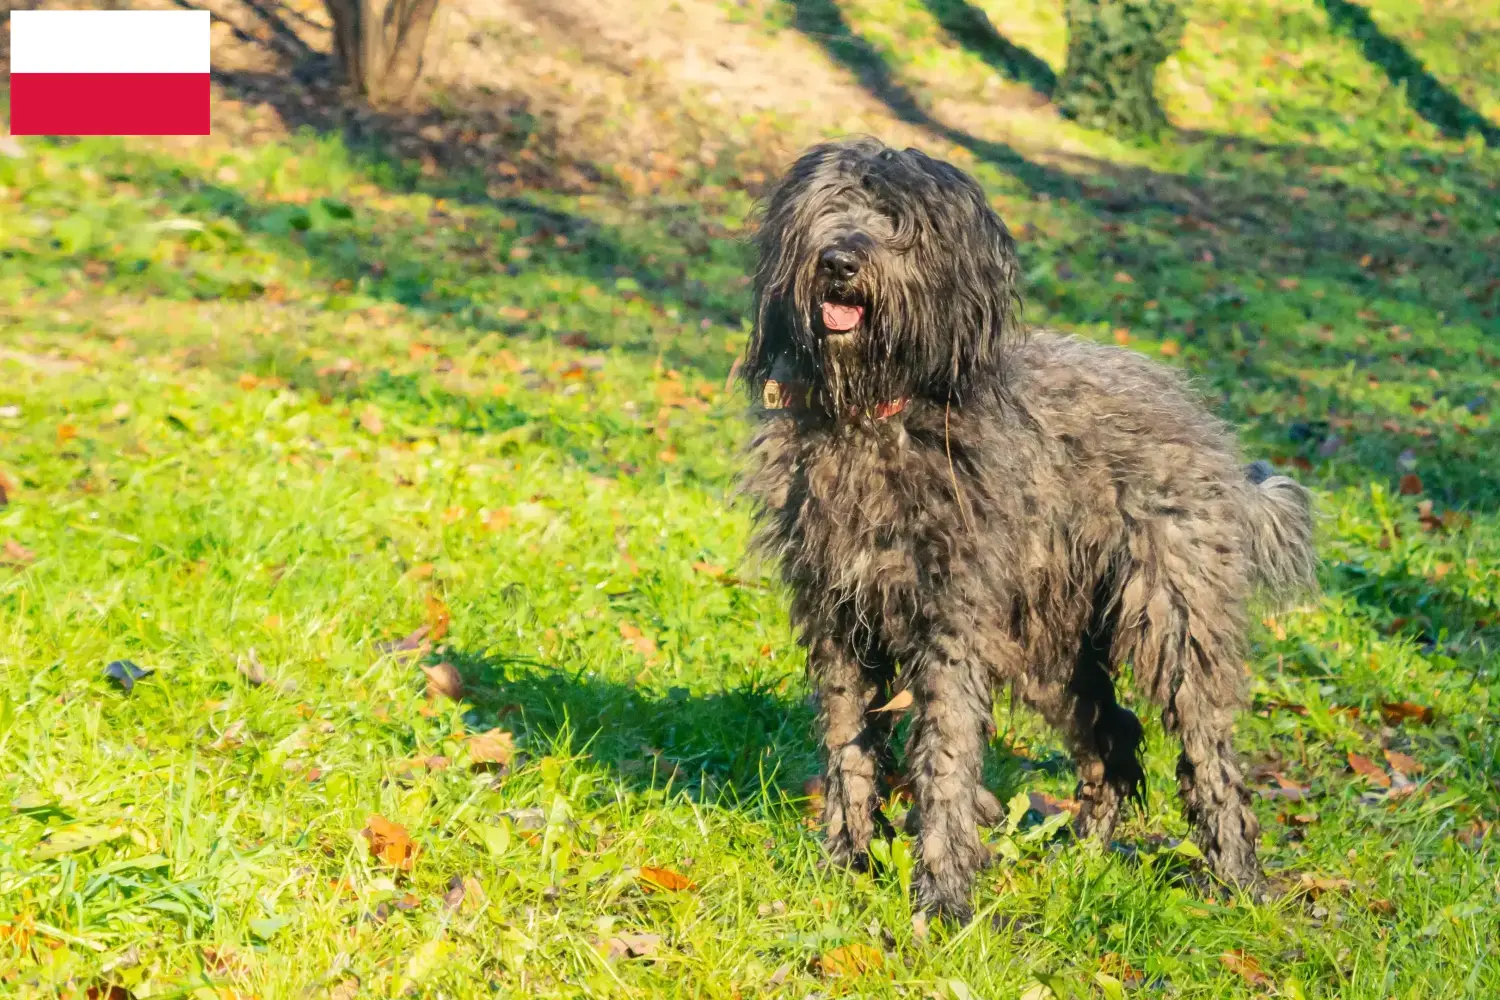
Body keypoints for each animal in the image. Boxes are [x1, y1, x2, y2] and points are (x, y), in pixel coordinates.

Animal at [741, 138, 1314, 923]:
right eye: (830, 206)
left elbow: (946, 758)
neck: (878, 414)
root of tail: (1209, 434)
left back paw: (1239, 879)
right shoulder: (838, 617)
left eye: (900, 223)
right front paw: (847, 859)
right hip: (1048, 645)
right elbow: (847, 742)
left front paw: (941, 896)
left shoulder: (950, 624)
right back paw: (1086, 854)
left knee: (1206, 749)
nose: (839, 261)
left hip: (1172, 618)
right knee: (1112, 738)